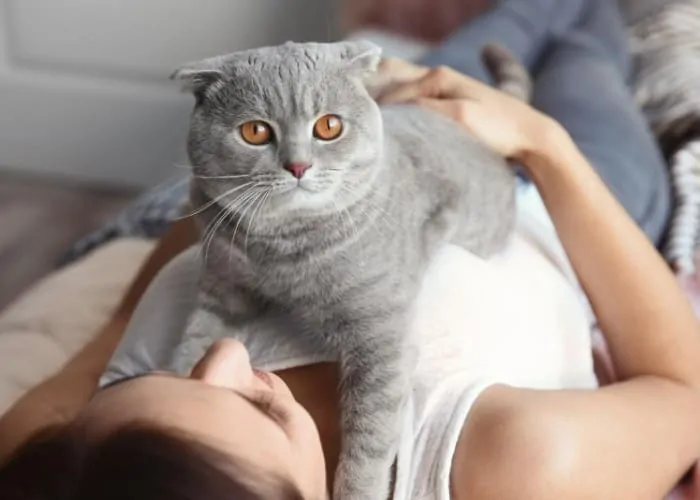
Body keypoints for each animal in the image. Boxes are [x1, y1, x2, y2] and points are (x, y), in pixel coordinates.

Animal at [171, 41, 532, 498]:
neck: (283, 250)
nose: (298, 165)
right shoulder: (222, 285)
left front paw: (357, 489)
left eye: (328, 126)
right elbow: (195, 340)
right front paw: (176, 384)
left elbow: (370, 436)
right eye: (255, 131)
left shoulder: (381, 335)